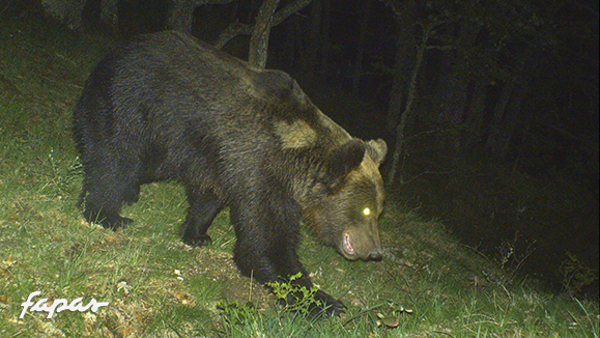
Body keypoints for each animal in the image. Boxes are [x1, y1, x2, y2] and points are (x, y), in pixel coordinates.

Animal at [72, 30, 386, 316]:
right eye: (368, 211)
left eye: (379, 211)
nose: (375, 251)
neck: (293, 156)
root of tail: (112, 55)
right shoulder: (260, 167)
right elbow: (263, 243)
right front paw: (324, 301)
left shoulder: (223, 160)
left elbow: (209, 197)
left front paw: (197, 233)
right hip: (132, 104)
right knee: (116, 156)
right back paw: (108, 213)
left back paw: (129, 193)